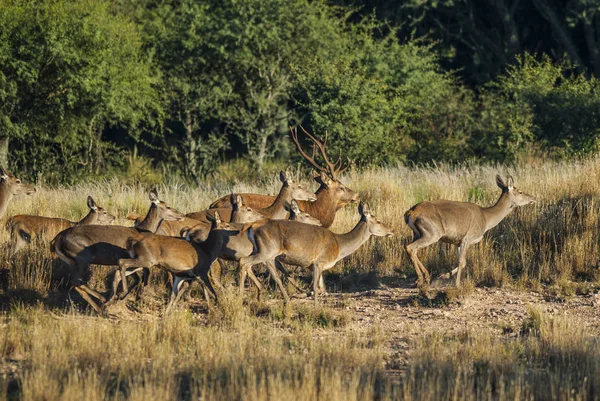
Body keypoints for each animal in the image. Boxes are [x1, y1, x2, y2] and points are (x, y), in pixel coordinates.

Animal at [50, 186, 184, 314]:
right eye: (168, 206)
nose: (182, 215)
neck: (142, 229)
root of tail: (57, 239)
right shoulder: (127, 256)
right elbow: (136, 277)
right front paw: (118, 297)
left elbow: (133, 277)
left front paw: (117, 297)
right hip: (83, 256)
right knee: (76, 281)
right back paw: (102, 300)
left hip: (72, 261)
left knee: (76, 283)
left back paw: (101, 309)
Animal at [239, 202, 394, 304]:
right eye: (378, 221)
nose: (391, 231)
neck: (339, 246)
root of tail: (252, 226)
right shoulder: (320, 261)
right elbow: (316, 287)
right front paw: (316, 308)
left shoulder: (314, 265)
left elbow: (321, 287)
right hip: (267, 251)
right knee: (244, 262)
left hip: (261, 251)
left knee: (256, 268)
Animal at [406, 173, 536, 286]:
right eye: (520, 191)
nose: (534, 198)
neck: (486, 219)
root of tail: (411, 213)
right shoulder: (467, 238)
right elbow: (462, 261)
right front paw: (457, 284)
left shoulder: (458, 242)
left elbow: (463, 262)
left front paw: (444, 276)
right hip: (432, 233)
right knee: (410, 247)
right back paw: (421, 278)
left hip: (417, 233)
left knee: (413, 249)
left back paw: (424, 277)